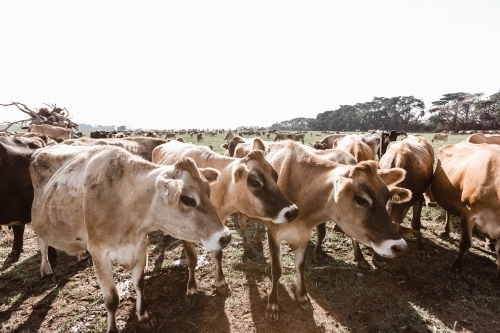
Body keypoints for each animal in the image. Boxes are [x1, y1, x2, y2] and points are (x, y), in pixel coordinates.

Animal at [29, 145, 229, 332]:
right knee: (42, 244)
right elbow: (111, 299)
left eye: (209, 192)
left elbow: (139, 283)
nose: (225, 237)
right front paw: (112, 328)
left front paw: (144, 317)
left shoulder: (140, 245)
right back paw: (47, 271)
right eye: (188, 199)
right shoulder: (99, 253)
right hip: (40, 224)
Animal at [233, 139, 410, 320]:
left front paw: (302, 296)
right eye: (361, 200)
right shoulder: (274, 233)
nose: (400, 246)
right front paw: (273, 305)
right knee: (242, 223)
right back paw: (247, 248)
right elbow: (276, 269)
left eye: (387, 197)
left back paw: (256, 240)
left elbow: (300, 265)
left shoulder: (304, 233)